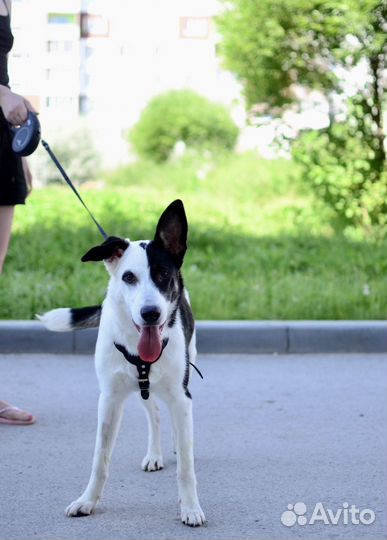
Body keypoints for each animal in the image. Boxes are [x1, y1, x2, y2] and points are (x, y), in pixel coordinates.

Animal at [40, 199, 206, 528]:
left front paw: (190, 507)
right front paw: (87, 501)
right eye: (129, 277)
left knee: (171, 423)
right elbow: (100, 459)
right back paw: (154, 453)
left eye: (163, 274)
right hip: (140, 389)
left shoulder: (182, 397)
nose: (150, 314)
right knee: (154, 415)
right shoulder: (109, 399)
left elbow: (186, 464)